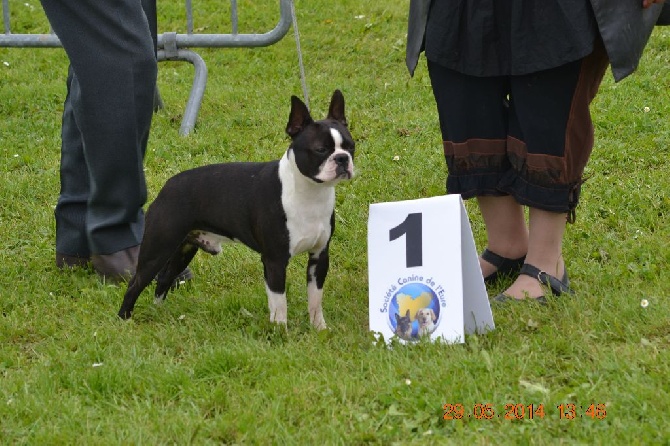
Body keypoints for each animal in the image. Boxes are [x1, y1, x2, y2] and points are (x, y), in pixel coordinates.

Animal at [116, 89, 356, 332]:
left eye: (351, 146)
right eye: (321, 150)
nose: (342, 158)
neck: (310, 193)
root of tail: (168, 186)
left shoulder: (319, 256)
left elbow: (315, 298)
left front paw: (319, 329)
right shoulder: (275, 260)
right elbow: (280, 303)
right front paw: (281, 332)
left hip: (183, 248)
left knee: (164, 279)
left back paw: (160, 312)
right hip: (158, 248)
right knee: (135, 283)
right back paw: (123, 319)